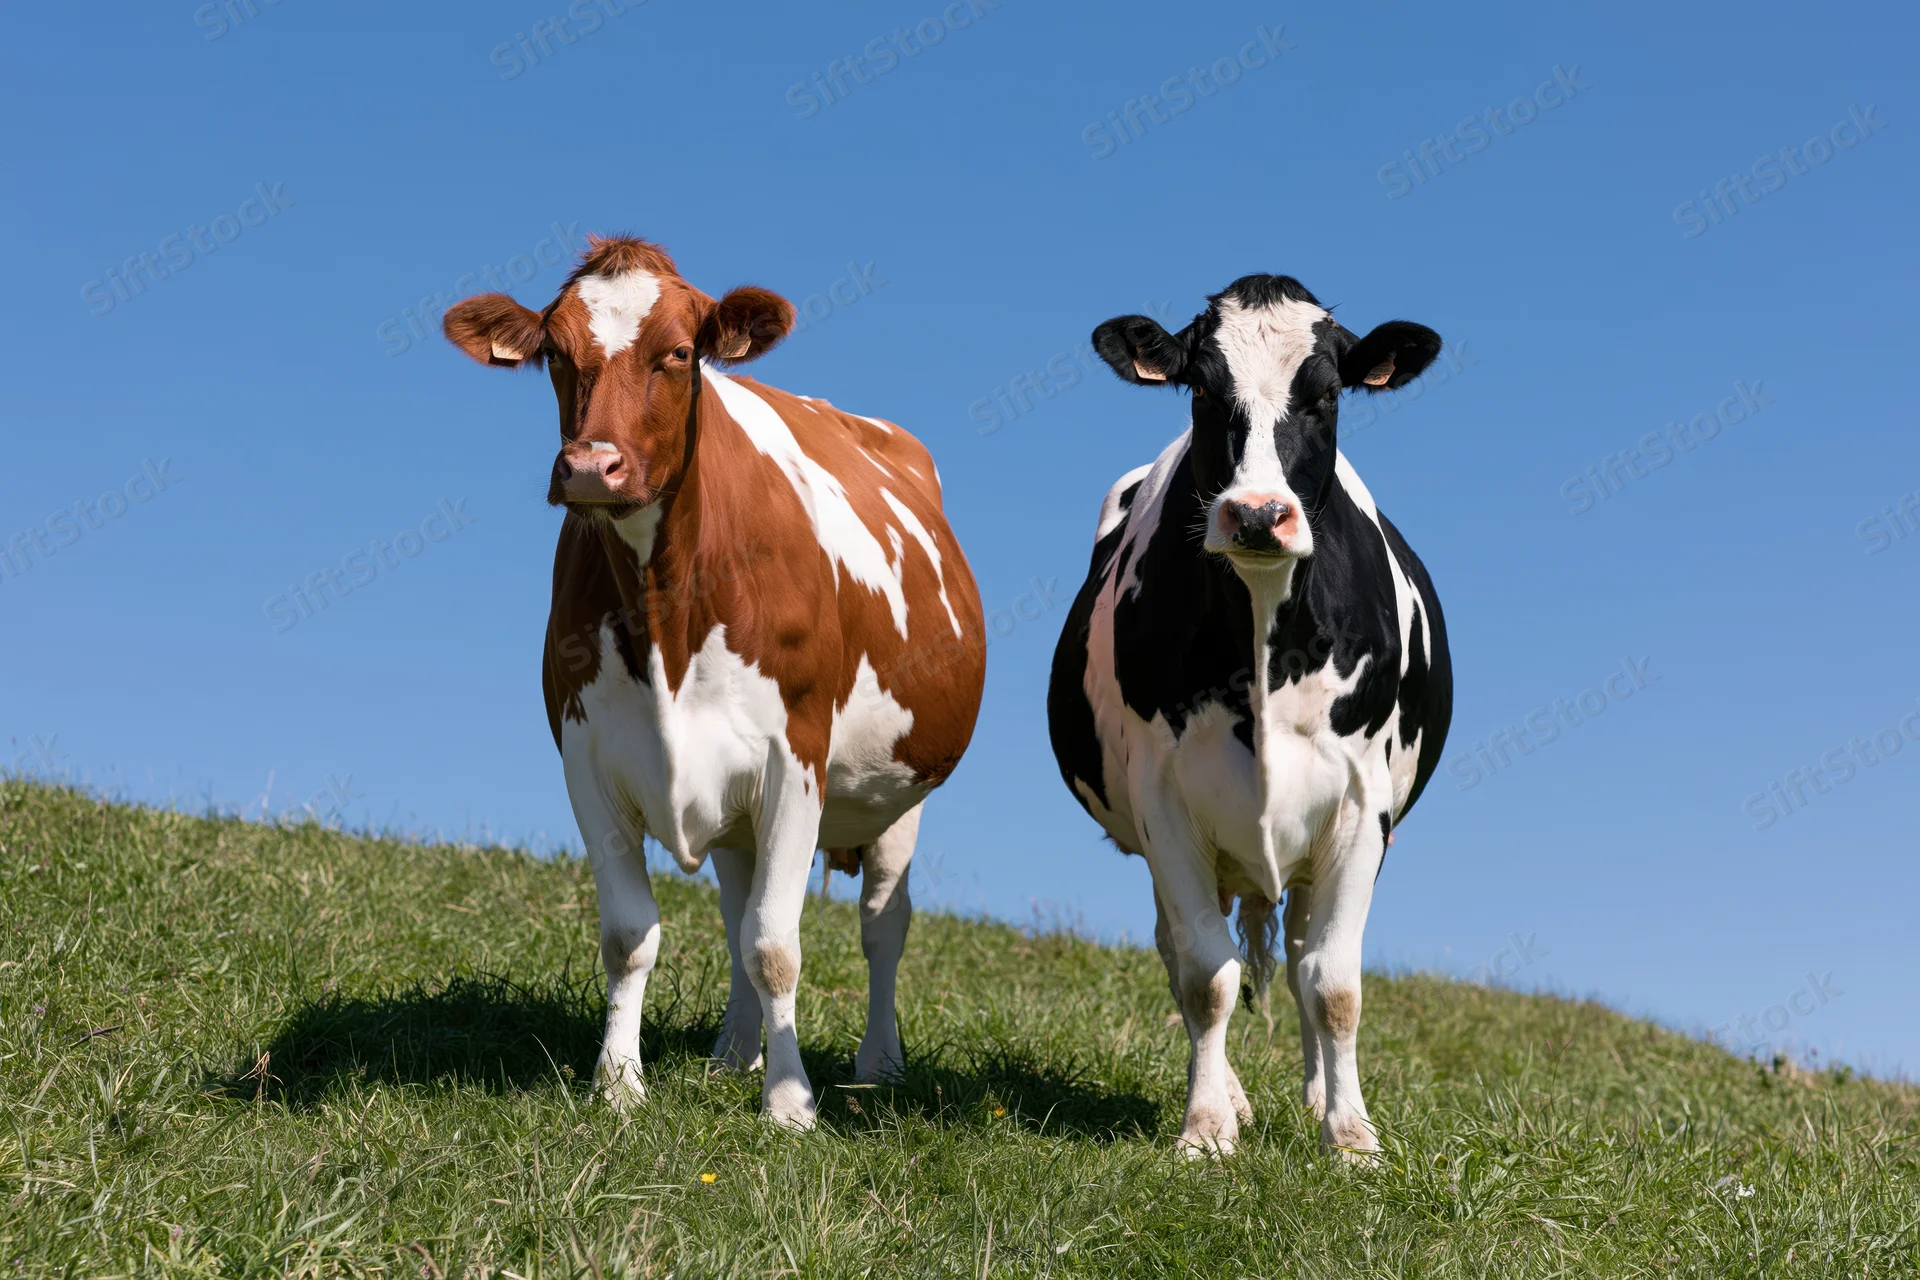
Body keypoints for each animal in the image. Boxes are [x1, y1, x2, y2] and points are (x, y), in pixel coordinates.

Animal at [442, 237, 986, 1128]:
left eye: (678, 352)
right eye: (555, 353)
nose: (590, 467)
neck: (666, 612)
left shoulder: (796, 759)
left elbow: (776, 945)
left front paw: (791, 1104)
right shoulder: (589, 761)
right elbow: (634, 934)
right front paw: (619, 1084)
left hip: (901, 791)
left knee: (882, 924)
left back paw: (877, 1065)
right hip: (739, 812)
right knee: (737, 909)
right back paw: (733, 1054)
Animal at [1047, 274, 1452, 1159]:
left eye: (1328, 393)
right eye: (1200, 388)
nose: (1260, 515)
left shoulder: (1362, 804)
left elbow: (1333, 984)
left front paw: (1351, 1136)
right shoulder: (1164, 799)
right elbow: (1206, 975)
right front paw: (1205, 1129)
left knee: (1300, 955)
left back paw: (1316, 1094)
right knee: (1184, 950)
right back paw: (1233, 1097)